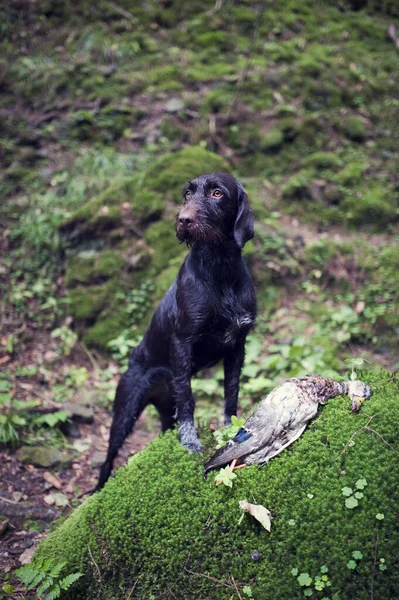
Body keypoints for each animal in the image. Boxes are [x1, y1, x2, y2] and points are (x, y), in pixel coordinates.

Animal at [96, 171, 256, 490]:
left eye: (218, 193)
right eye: (187, 194)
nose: (183, 219)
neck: (220, 270)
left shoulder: (237, 345)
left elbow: (231, 392)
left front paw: (228, 429)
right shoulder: (183, 342)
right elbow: (187, 397)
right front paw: (190, 442)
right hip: (125, 410)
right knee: (108, 458)